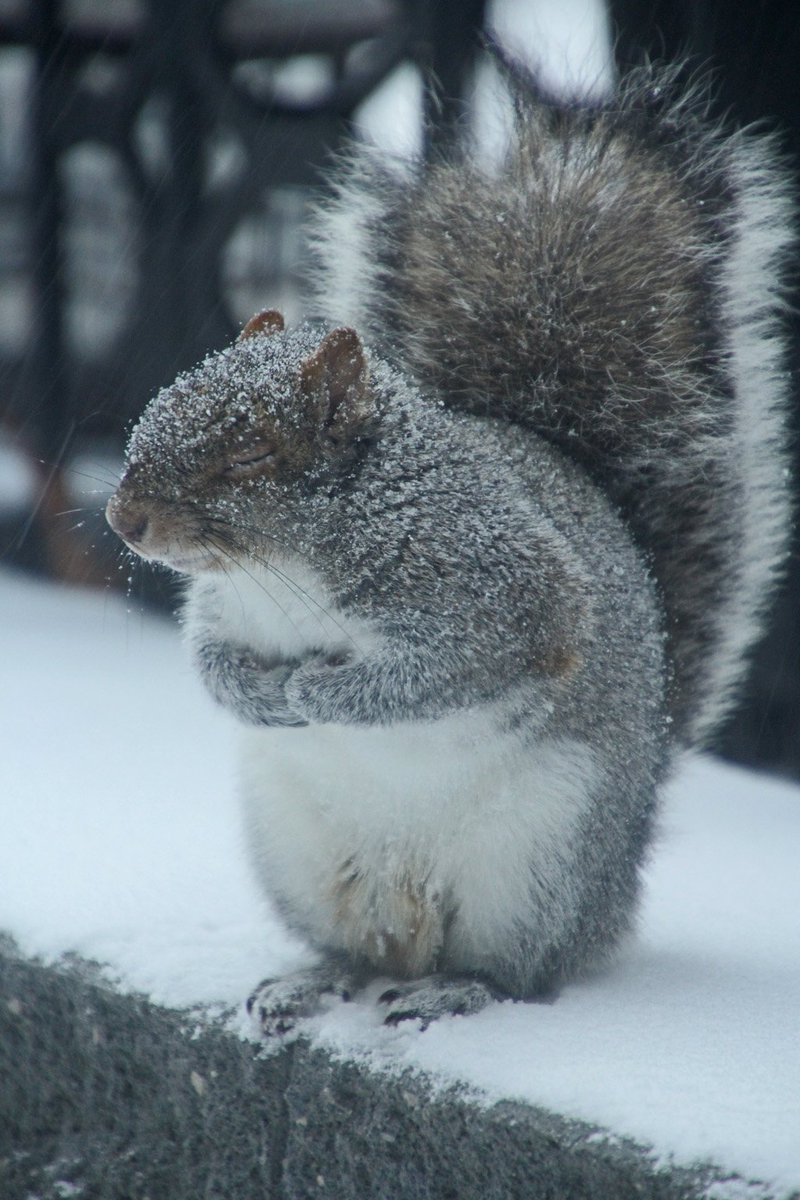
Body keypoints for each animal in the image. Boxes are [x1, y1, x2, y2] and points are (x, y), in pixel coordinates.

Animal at [106, 62, 793, 1030]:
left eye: (248, 456)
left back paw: (455, 989)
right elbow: (207, 656)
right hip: (298, 855)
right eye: (159, 410)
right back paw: (311, 980)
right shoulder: (221, 606)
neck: (281, 566)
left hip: (536, 863)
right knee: (352, 951)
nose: (123, 520)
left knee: (523, 973)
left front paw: (318, 692)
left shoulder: (502, 591)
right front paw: (253, 692)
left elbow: (440, 674)